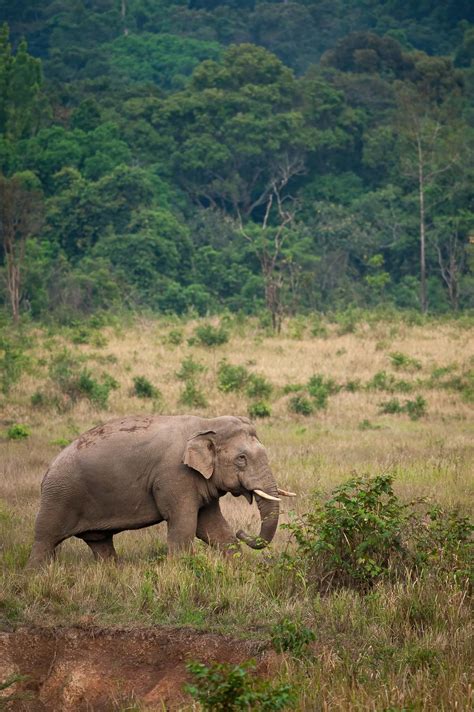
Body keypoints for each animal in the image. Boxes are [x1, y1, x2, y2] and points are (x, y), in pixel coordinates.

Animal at [26, 412, 296, 568]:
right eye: (242, 459)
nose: (243, 531)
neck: (206, 423)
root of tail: (47, 473)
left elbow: (212, 526)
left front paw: (239, 571)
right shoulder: (174, 475)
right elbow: (184, 523)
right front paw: (179, 573)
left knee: (100, 543)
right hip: (58, 497)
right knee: (45, 539)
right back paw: (36, 576)